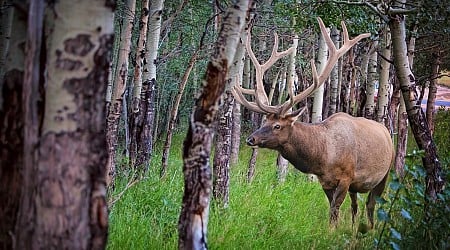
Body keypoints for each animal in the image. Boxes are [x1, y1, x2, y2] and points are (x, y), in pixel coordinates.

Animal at [234, 17, 396, 229]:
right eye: (265, 121)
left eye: (277, 126)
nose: (251, 139)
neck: (323, 158)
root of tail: (387, 132)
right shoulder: (325, 181)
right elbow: (332, 210)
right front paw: (335, 229)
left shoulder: (346, 177)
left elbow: (335, 210)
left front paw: (332, 232)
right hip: (357, 186)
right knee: (355, 206)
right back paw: (354, 229)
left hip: (385, 173)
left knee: (371, 204)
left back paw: (370, 229)